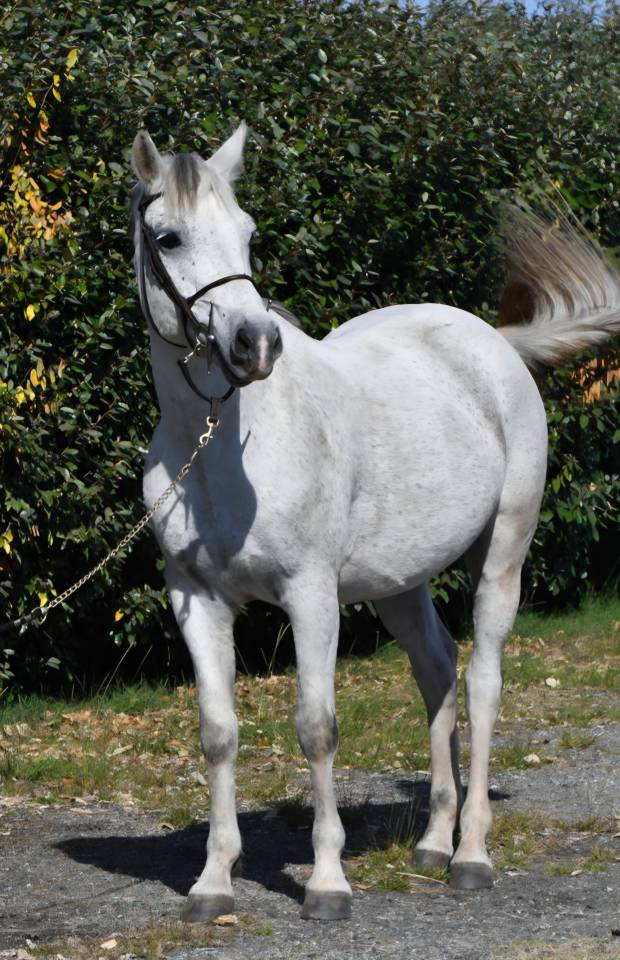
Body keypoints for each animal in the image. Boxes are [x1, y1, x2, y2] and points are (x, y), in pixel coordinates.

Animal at [130, 122, 620, 921]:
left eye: (248, 232)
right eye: (167, 237)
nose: (254, 344)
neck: (223, 445)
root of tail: (496, 343)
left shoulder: (310, 595)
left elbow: (317, 728)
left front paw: (327, 883)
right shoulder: (196, 600)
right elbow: (218, 734)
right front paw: (212, 882)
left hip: (503, 557)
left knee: (482, 682)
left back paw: (471, 855)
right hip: (399, 583)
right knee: (437, 671)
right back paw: (433, 842)